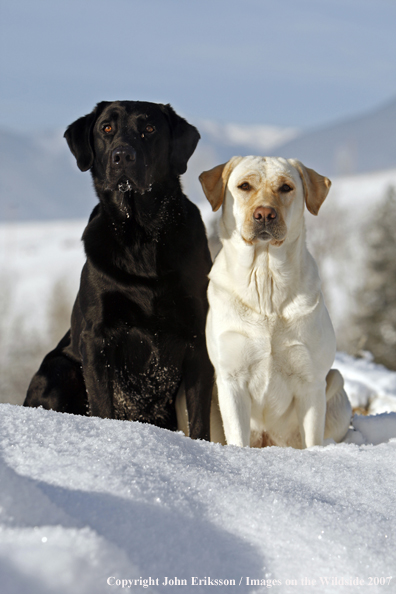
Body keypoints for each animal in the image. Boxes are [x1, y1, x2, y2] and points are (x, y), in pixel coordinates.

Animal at [24, 99, 213, 438]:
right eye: (106, 128)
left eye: (149, 128)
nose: (123, 155)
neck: (140, 235)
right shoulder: (96, 337)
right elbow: (103, 404)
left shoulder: (198, 337)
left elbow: (200, 418)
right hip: (58, 369)